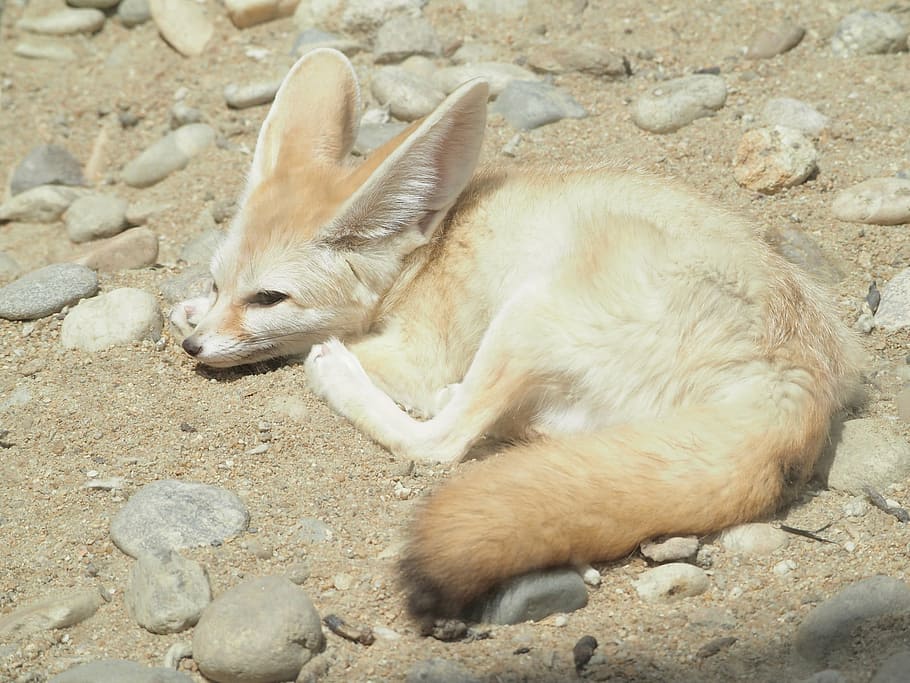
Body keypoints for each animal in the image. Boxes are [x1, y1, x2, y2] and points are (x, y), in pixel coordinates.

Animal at [172, 48, 861, 621]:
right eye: (219, 282)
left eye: (269, 298)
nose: (194, 349)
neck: (427, 252)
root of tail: (801, 380)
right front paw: (186, 310)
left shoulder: (420, 352)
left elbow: (344, 362)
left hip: (529, 313)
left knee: (440, 442)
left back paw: (345, 378)